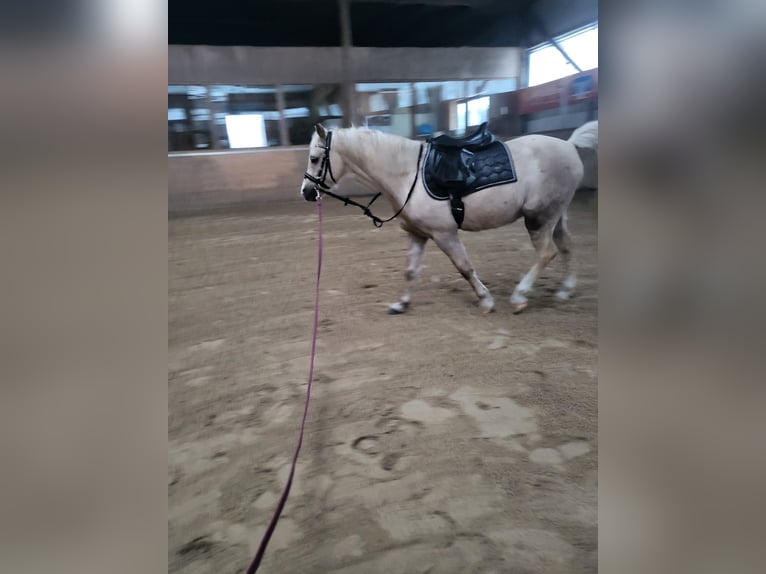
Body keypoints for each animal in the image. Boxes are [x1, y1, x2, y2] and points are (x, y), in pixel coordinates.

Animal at [300, 121, 598, 314]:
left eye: (314, 158)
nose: (306, 192)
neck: (408, 174)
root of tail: (569, 145)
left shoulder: (444, 234)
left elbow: (464, 267)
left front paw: (485, 300)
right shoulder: (418, 234)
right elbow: (410, 271)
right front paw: (401, 304)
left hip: (539, 218)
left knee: (547, 253)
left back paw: (519, 296)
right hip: (555, 216)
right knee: (566, 247)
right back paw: (564, 291)